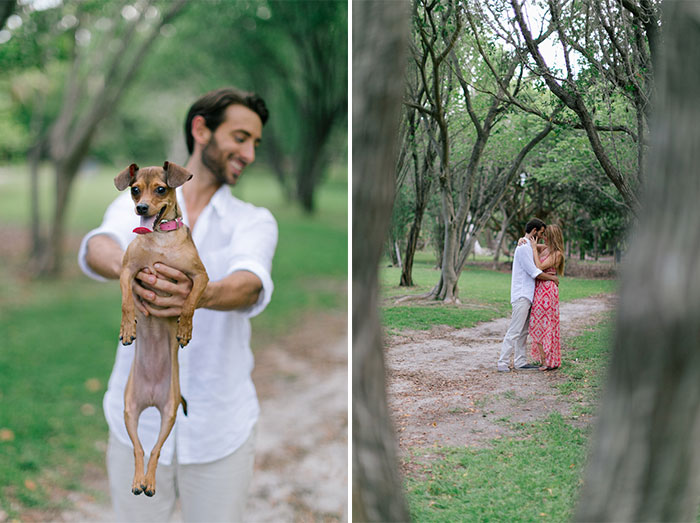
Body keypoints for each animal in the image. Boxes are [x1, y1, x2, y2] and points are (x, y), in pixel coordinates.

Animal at [113, 162, 208, 498]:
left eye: (161, 189)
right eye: (134, 190)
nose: (141, 207)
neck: (159, 243)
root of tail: (152, 399)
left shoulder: (200, 277)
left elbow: (189, 303)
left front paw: (185, 329)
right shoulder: (127, 271)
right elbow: (127, 302)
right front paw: (128, 327)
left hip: (169, 413)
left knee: (154, 449)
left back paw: (150, 481)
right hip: (129, 411)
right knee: (140, 448)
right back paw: (139, 480)